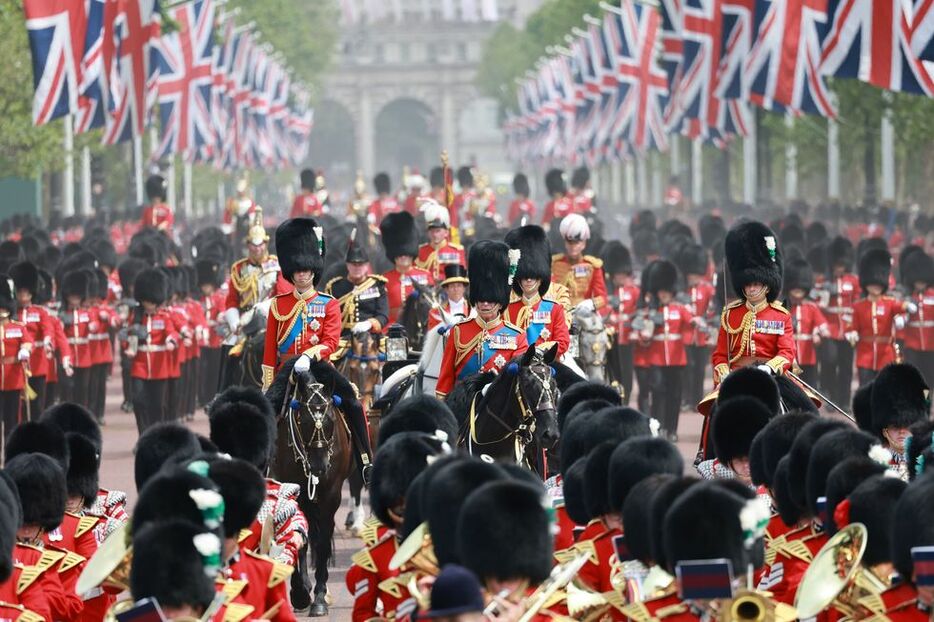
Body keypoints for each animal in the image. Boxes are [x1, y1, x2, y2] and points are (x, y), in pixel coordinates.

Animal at [270, 358, 362, 616]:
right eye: (303, 419)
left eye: (330, 419)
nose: (319, 467)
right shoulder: (294, 490)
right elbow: (299, 537)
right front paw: (300, 593)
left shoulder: (331, 495)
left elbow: (321, 542)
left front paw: (319, 596)